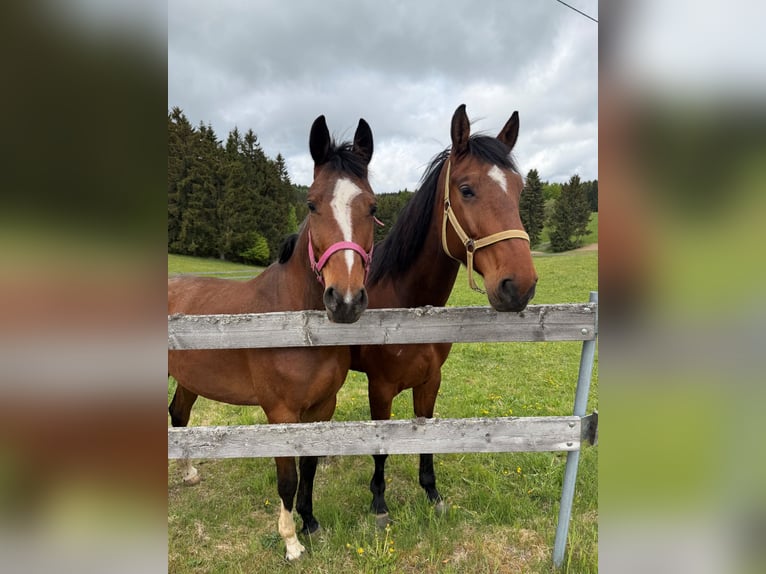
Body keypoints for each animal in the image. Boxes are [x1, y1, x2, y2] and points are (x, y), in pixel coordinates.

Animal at [168, 115, 378, 560]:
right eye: (312, 204)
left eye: (372, 207)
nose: (345, 301)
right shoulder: (280, 413)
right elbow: (287, 477)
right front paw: (291, 542)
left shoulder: (322, 407)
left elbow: (310, 466)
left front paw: (311, 523)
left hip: (190, 379)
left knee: (179, 415)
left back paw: (189, 472)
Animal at [350, 104, 538, 525]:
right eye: (466, 189)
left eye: (520, 190)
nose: (519, 286)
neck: (409, 309)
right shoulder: (380, 388)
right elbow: (380, 447)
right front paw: (379, 502)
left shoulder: (430, 382)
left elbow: (427, 438)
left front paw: (432, 493)